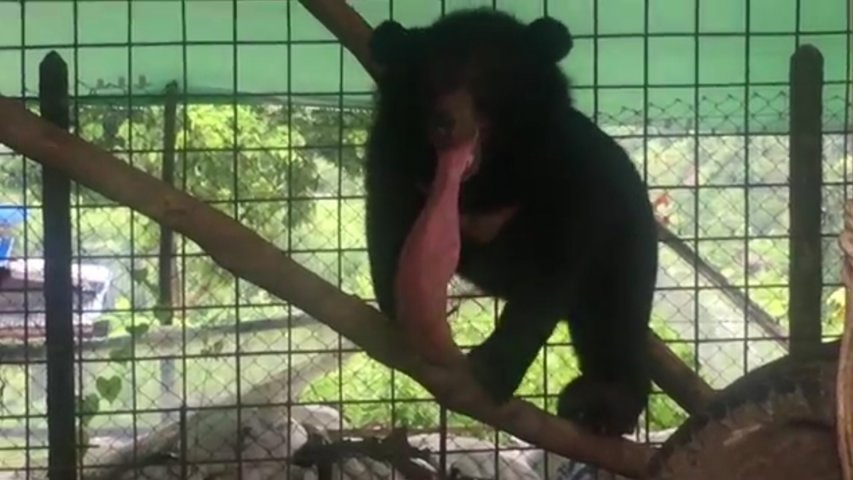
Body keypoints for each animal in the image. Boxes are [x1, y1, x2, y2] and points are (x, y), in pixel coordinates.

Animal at [362, 7, 659, 436]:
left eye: (487, 78)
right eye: (429, 80)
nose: (445, 121)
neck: (486, 180)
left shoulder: (570, 173)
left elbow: (553, 268)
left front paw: (492, 369)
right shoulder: (393, 158)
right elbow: (390, 230)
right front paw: (402, 317)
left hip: (627, 244)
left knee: (614, 318)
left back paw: (600, 405)